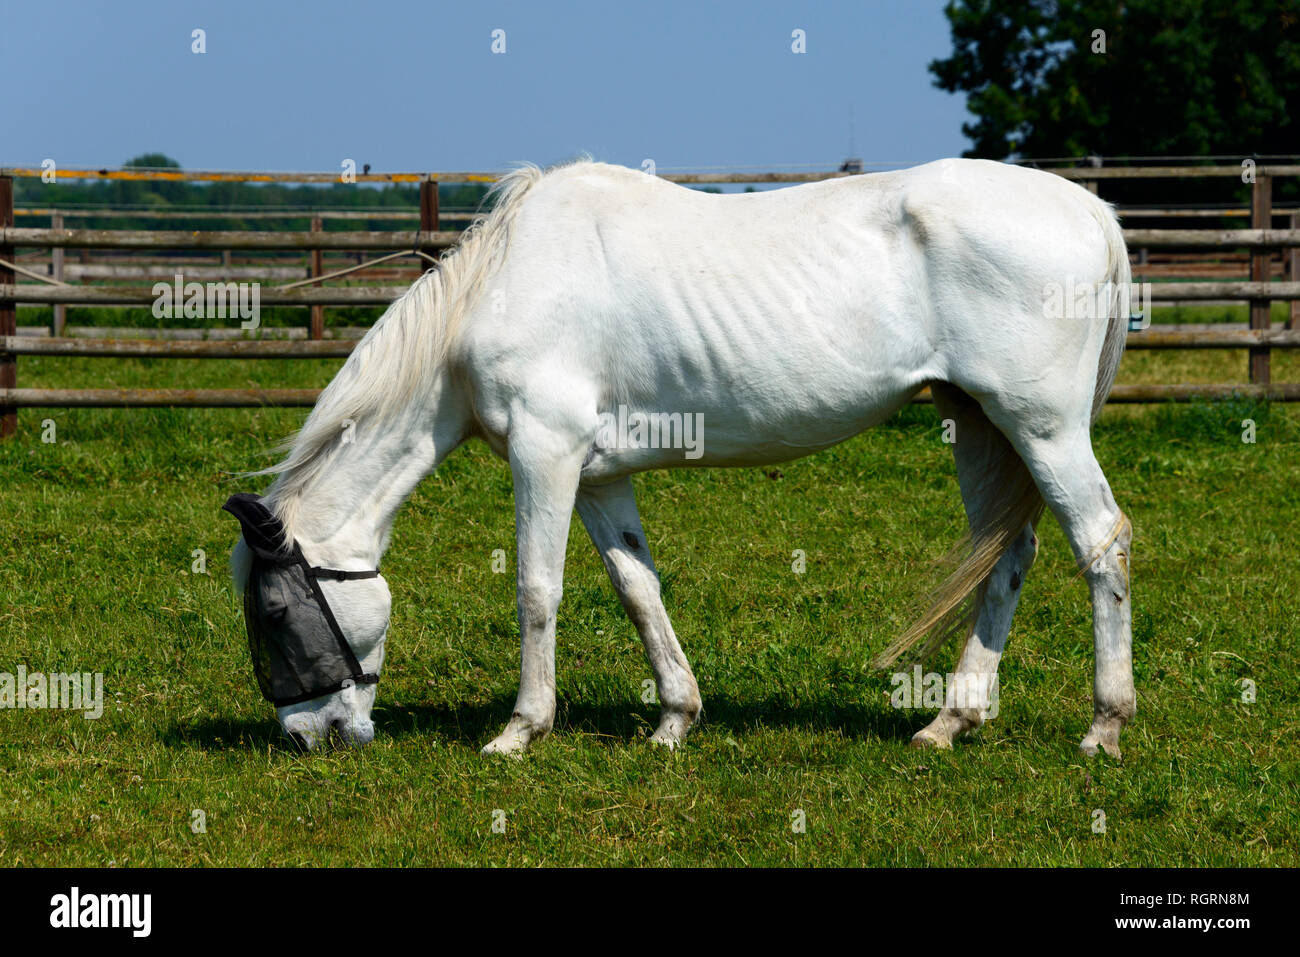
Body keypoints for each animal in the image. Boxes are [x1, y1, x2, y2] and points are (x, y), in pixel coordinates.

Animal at [226, 155, 1138, 754]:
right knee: (1007, 554)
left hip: (1042, 427)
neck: (504, 283)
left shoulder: (545, 451)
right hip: (979, 424)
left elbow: (536, 589)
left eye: (272, 610)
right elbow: (637, 588)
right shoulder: (598, 477)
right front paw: (674, 718)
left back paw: (1104, 724)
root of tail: (1089, 210)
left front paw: (520, 730)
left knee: (1101, 542)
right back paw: (950, 720)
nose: (308, 736)